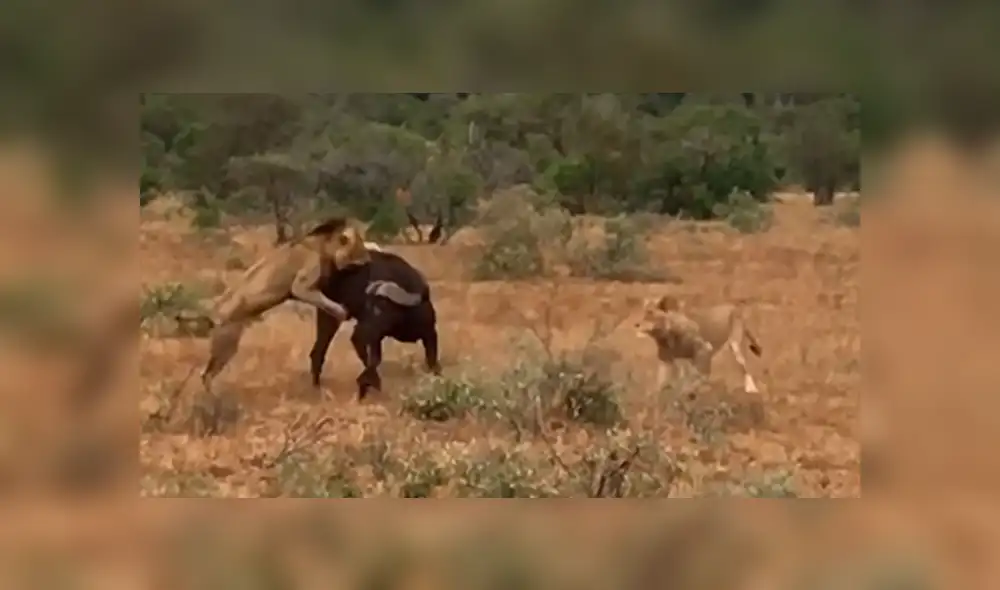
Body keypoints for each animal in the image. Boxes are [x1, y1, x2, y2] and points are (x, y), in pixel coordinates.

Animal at [200, 217, 372, 392]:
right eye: (360, 248)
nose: (369, 259)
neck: (324, 247)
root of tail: (214, 312)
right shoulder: (300, 286)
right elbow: (324, 301)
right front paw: (341, 312)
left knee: (206, 374)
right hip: (227, 343)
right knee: (207, 375)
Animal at [309, 250, 441, 399]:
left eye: (380, 307)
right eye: (367, 305)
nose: (358, 332)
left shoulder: (430, 333)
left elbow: (432, 360)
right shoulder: (372, 336)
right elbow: (374, 360)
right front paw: (368, 383)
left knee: (319, 348)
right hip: (330, 314)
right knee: (319, 349)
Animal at [634, 294, 763, 394]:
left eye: (650, 312)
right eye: (642, 311)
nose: (636, 324)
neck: (663, 337)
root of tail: (735, 307)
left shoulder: (703, 349)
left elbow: (698, 375)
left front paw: (690, 390)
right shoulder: (666, 361)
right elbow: (662, 382)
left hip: (735, 344)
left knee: (744, 366)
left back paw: (751, 389)